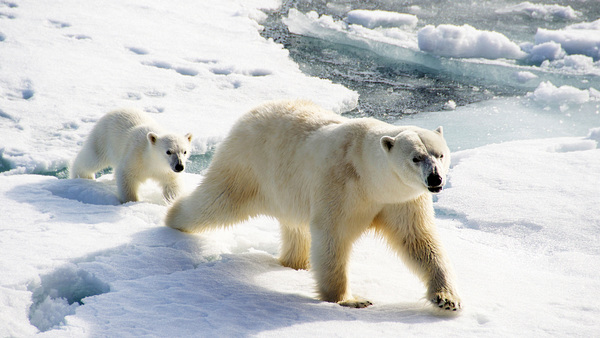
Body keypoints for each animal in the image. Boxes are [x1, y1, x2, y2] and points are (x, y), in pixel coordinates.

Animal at [166, 99, 462, 310]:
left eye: (440, 154)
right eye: (416, 157)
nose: (435, 178)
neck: (368, 174)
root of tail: (252, 111)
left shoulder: (402, 199)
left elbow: (418, 240)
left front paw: (447, 298)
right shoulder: (340, 184)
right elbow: (333, 235)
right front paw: (349, 299)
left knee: (295, 228)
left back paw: (296, 263)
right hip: (247, 165)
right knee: (215, 202)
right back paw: (172, 217)